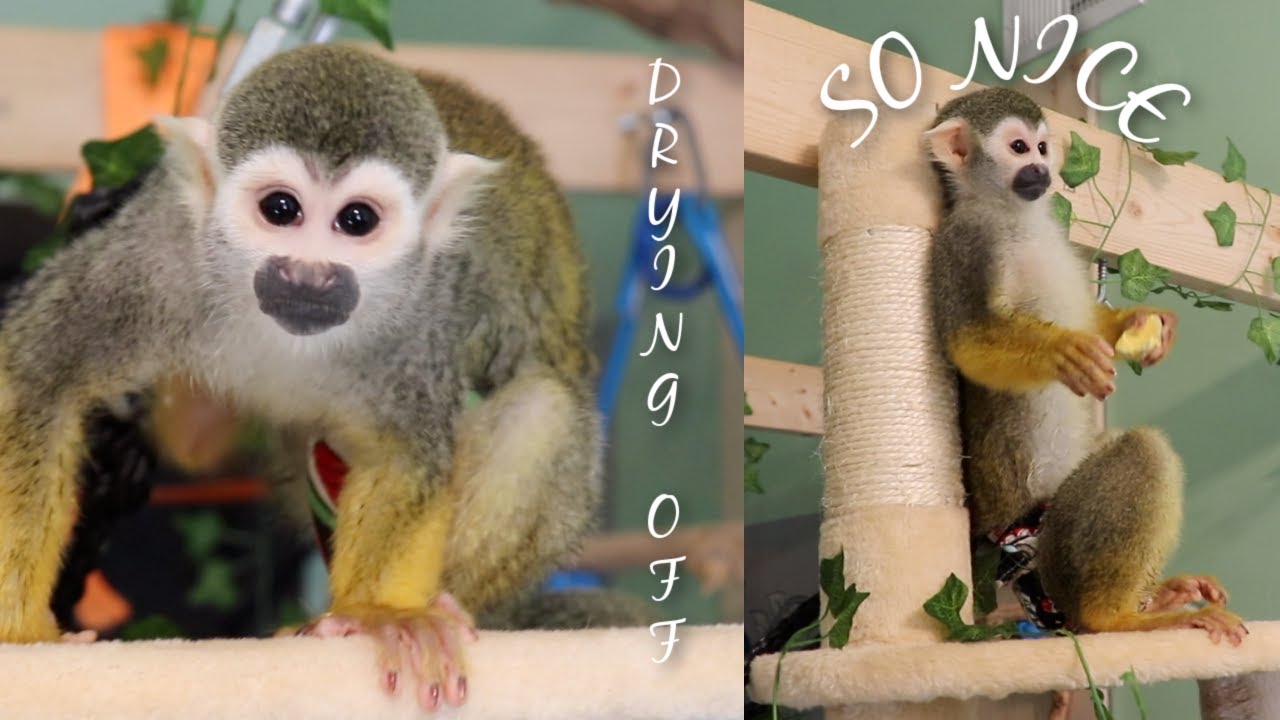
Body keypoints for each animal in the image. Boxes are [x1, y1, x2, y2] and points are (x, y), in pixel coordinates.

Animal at [0, 42, 610, 710]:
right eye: (280, 209)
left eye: (357, 220)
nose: (309, 276)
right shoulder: (157, 252)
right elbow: (41, 378)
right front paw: (22, 634)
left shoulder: (425, 305)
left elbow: (406, 453)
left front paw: (379, 614)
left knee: (542, 408)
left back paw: (429, 607)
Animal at [924, 86, 1246, 647]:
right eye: (1017, 148)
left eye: (1041, 147)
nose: (1039, 170)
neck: (1012, 214)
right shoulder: (962, 242)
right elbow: (969, 342)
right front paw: (1060, 351)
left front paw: (1140, 323)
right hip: (1041, 544)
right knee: (1143, 450)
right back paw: (1112, 618)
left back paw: (1157, 596)